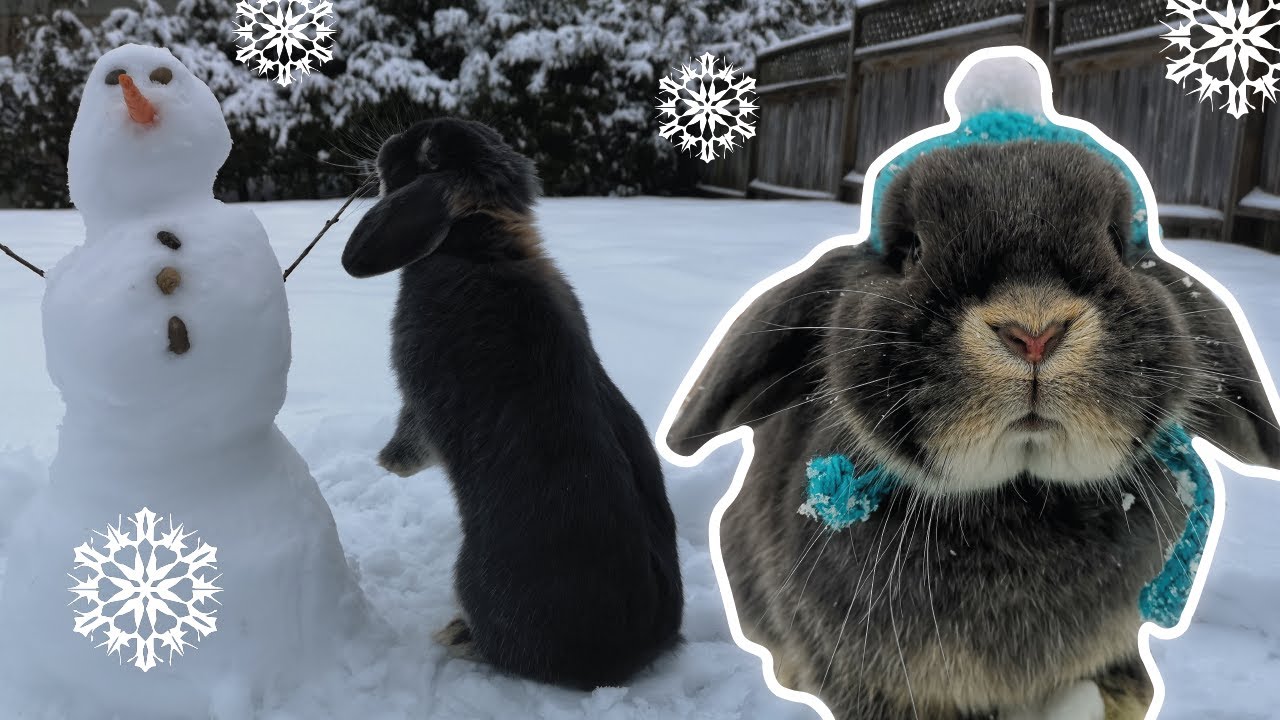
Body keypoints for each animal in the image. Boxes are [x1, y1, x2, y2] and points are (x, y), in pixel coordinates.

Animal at [341, 117, 684, 689]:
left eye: (425, 154)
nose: (386, 144)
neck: (479, 244)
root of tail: (621, 660)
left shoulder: (418, 394)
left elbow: (413, 431)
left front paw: (389, 464)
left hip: (477, 579)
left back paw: (457, 638)